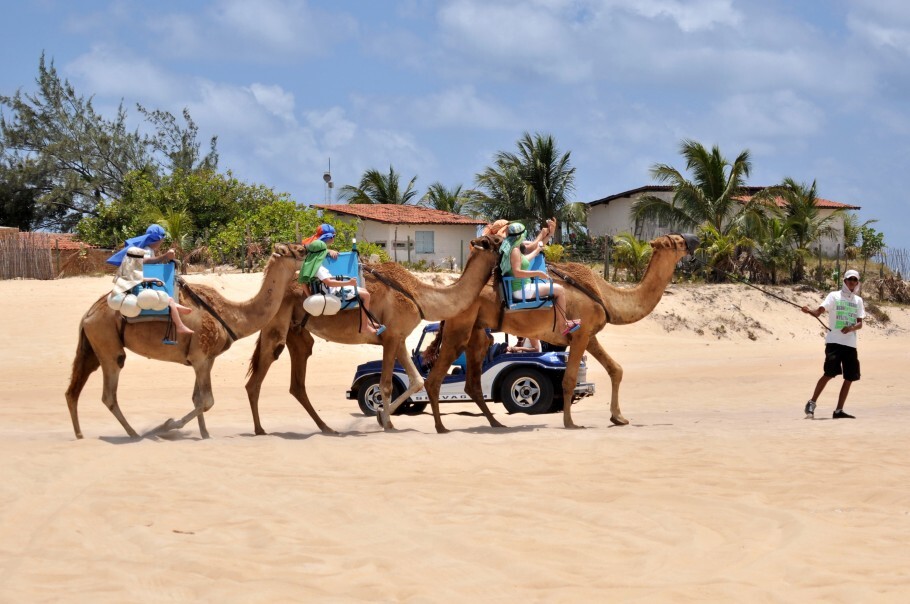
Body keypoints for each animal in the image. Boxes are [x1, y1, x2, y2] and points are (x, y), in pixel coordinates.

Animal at [65, 242, 306, 438]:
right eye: (301, 250)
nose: (315, 252)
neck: (230, 314)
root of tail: (87, 315)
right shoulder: (200, 356)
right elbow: (207, 401)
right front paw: (167, 426)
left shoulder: (206, 359)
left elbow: (197, 399)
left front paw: (205, 434)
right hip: (107, 344)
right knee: (109, 394)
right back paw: (134, 434)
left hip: (93, 348)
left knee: (74, 389)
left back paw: (79, 434)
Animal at [244, 235, 506, 434]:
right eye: (495, 242)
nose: (512, 243)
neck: (419, 296)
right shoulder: (390, 337)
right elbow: (386, 384)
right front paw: (388, 423)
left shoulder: (399, 338)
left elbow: (416, 380)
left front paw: (381, 416)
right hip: (276, 327)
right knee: (256, 379)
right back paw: (260, 430)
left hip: (297, 333)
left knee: (297, 382)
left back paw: (326, 428)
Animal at [406, 232, 700, 434]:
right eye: (676, 241)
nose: (695, 238)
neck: (605, 294)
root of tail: (451, 292)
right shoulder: (581, 334)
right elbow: (568, 380)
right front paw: (570, 422)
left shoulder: (588, 334)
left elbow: (615, 369)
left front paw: (619, 418)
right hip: (459, 329)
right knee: (435, 378)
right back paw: (441, 427)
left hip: (477, 334)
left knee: (473, 383)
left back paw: (496, 423)